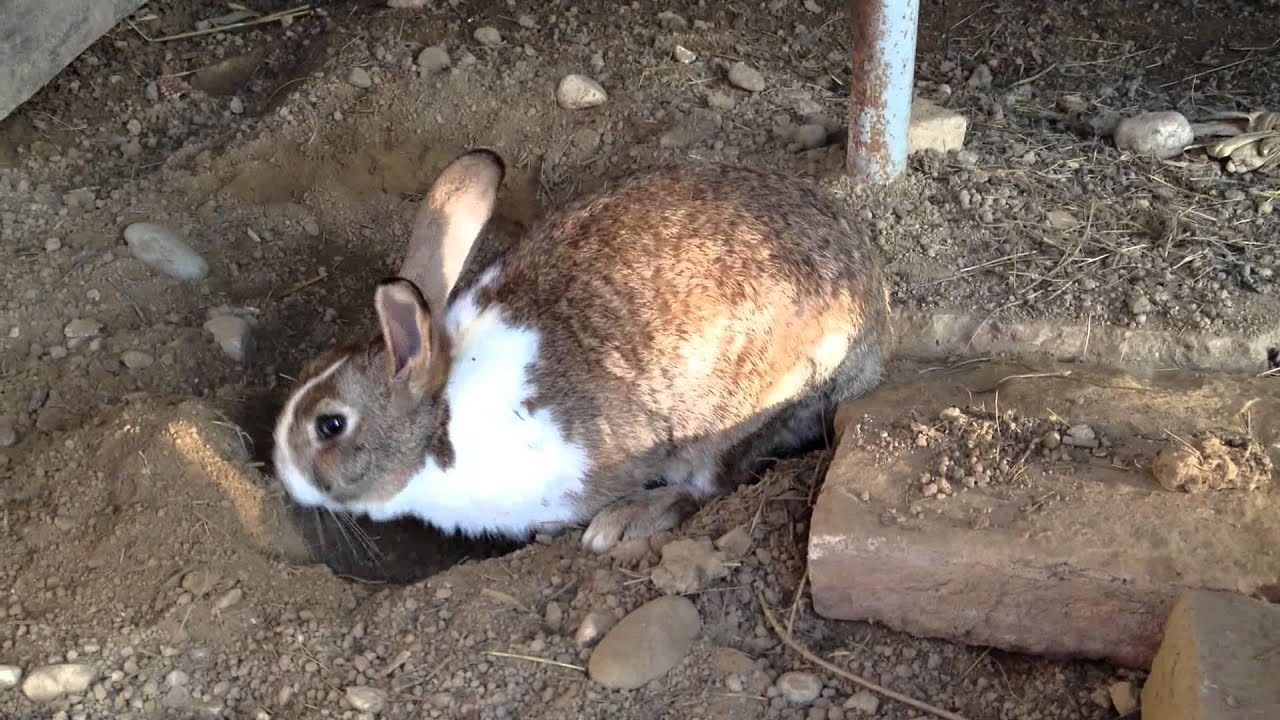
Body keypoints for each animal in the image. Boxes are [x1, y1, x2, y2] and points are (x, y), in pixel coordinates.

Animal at [272, 148, 892, 553]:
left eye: (330, 425)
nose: (282, 475)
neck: (438, 425)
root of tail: (874, 329)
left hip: (742, 409)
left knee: (709, 482)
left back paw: (621, 522)